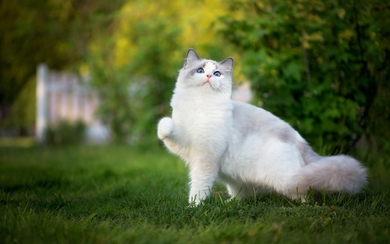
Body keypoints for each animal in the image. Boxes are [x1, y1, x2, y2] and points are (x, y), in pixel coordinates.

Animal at [157, 48, 368, 205]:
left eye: (217, 73)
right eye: (200, 71)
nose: (209, 75)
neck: (200, 105)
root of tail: (301, 143)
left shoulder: (205, 158)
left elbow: (199, 186)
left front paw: (194, 207)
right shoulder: (184, 142)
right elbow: (166, 125)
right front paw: (163, 131)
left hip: (286, 179)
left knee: (303, 190)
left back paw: (304, 206)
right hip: (234, 177)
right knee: (243, 194)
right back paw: (230, 204)